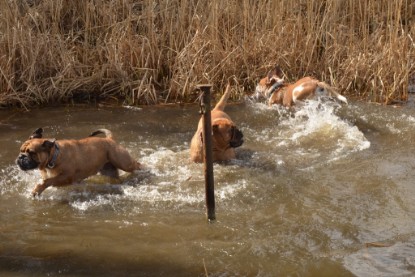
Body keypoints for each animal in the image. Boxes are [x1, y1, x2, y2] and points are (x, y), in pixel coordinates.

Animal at [15, 128, 143, 196]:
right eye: (21, 150)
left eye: (32, 153)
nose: (21, 157)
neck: (54, 157)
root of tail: (109, 139)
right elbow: (47, 180)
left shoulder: (66, 177)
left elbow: (47, 181)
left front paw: (37, 189)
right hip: (109, 170)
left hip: (124, 163)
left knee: (138, 165)